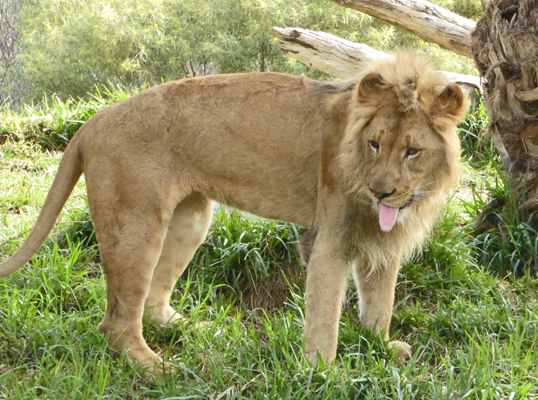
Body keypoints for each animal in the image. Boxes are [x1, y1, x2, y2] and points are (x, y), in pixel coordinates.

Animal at [0, 51, 466, 374]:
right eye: (375, 143)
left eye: (411, 151)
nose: (381, 191)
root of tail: (90, 123)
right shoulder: (330, 240)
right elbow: (324, 316)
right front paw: (322, 373)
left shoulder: (381, 239)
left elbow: (380, 300)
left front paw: (380, 346)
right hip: (135, 223)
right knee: (116, 323)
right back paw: (158, 368)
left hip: (191, 219)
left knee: (153, 299)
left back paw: (192, 329)